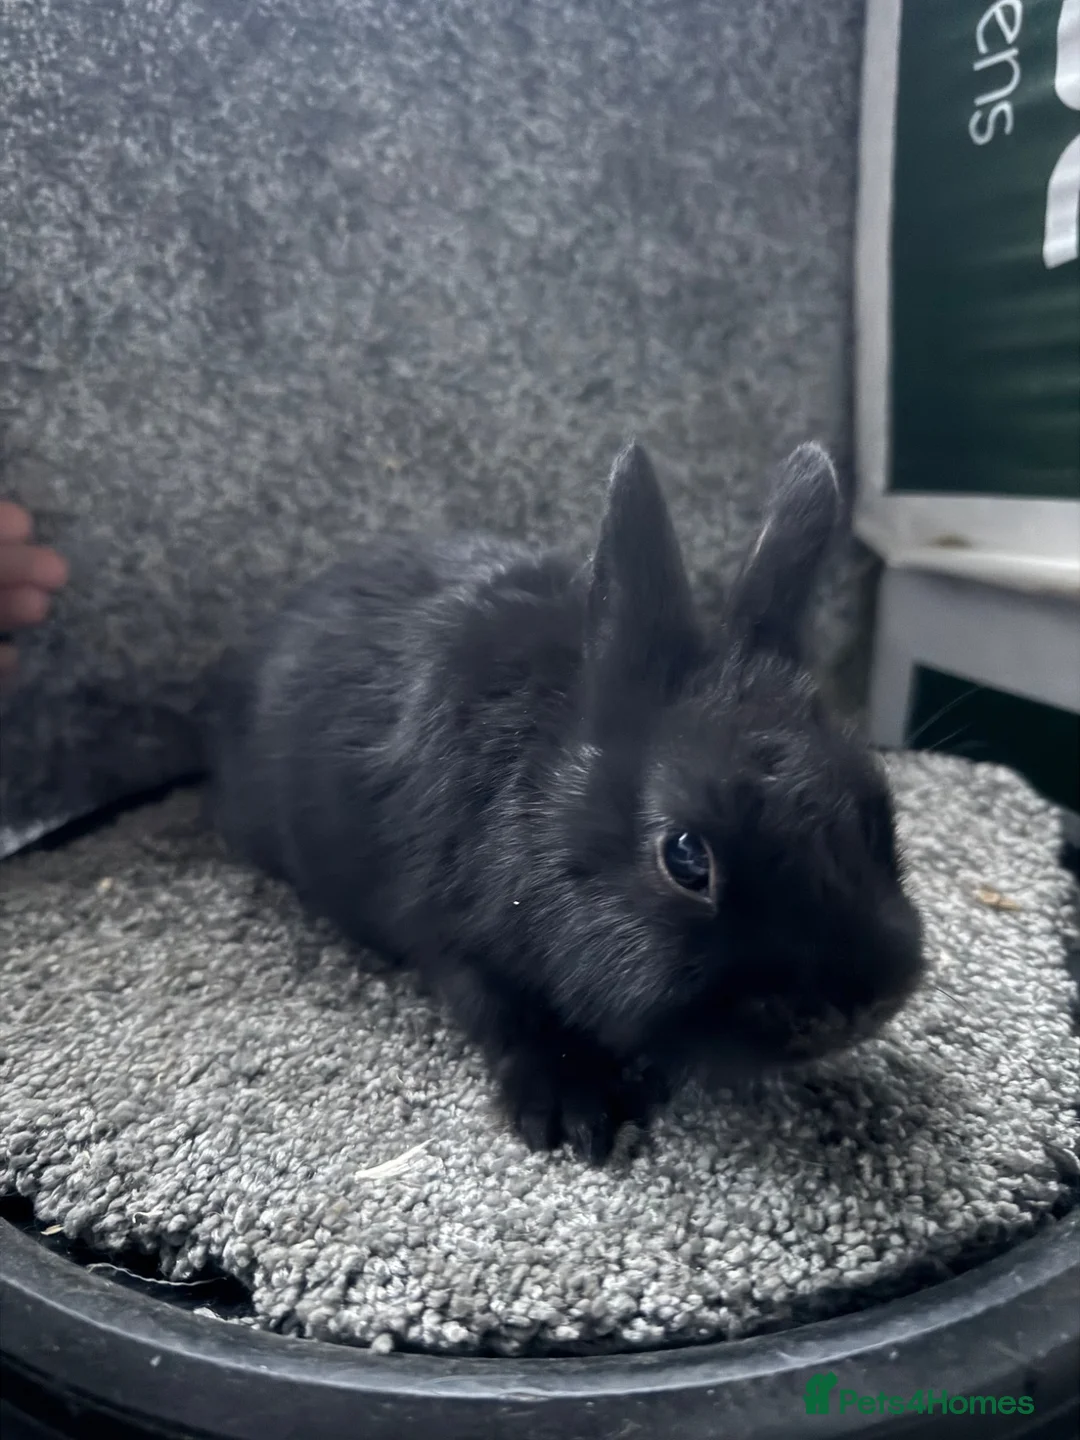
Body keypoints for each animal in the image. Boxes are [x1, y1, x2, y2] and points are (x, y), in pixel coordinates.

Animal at [200, 440, 924, 1163]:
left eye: (873, 811)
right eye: (686, 859)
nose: (857, 1005)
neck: (539, 806)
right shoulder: (454, 936)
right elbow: (509, 1016)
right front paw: (579, 1112)